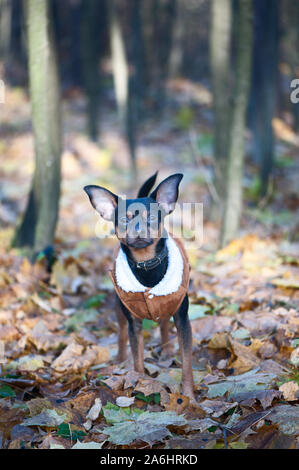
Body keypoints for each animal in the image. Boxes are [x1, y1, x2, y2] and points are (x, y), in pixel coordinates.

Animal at [85, 173, 196, 400]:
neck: (146, 265)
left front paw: (189, 396)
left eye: (152, 217)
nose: (138, 230)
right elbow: (137, 360)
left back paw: (167, 349)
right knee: (121, 333)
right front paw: (138, 383)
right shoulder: (134, 324)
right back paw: (120, 360)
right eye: (124, 219)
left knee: (163, 323)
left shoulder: (182, 319)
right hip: (119, 308)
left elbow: (187, 364)